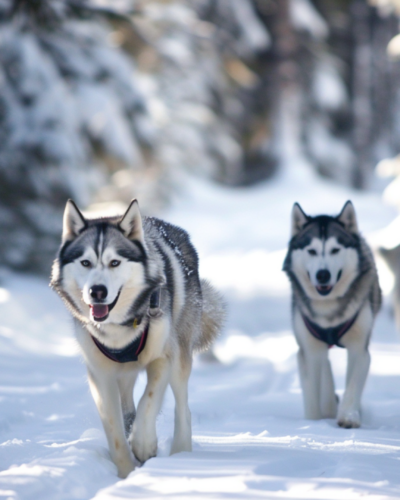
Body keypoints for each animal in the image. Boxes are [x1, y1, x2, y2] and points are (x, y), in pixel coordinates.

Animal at [50, 198, 225, 476]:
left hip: (180, 357)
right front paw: (126, 473)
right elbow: (115, 431)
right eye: (85, 263)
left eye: (115, 262)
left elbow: (148, 402)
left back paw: (180, 452)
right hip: (124, 374)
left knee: (182, 407)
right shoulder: (100, 376)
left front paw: (144, 445)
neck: (118, 330)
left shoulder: (162, 358)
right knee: (127, 408)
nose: (97, 291)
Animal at [282, 201, 380, 428]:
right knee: (324, 368)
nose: (323, 274)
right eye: (311, 251)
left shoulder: (359, 347)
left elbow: (353, 384)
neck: (328, 312)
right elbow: (312, 393)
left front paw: (348, 417)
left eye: (335, 250)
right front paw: (313, 423)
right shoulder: (308, 350)